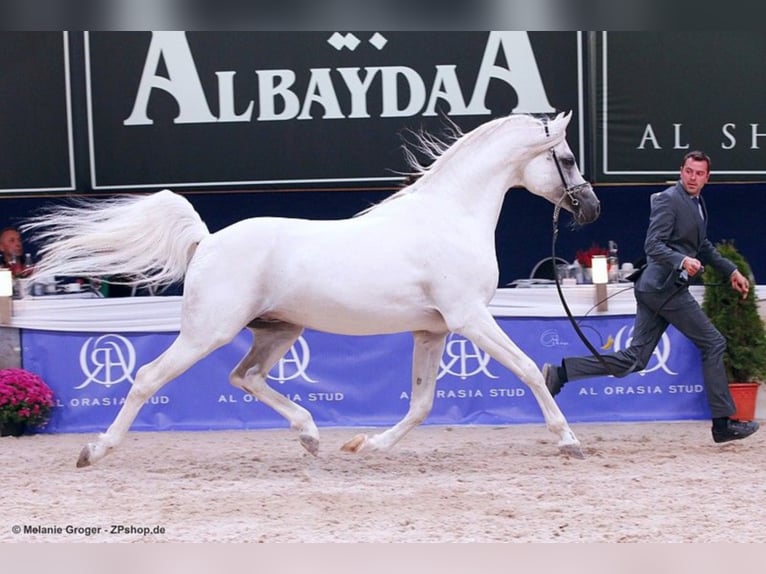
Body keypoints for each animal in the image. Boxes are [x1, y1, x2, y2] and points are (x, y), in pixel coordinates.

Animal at [27, 110, 600, 466]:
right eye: (568, 159)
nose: (592, 207)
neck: (451, 217)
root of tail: (206, 241)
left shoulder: (432, 331)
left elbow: (421, 403)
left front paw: (367, 446)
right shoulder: (470, 318)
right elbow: (529, 370)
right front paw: (569, 441)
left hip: (278, 331)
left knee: (245, 377)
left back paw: (309, 434)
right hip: (206, 333)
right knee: (149, 378)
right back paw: (94, 451)